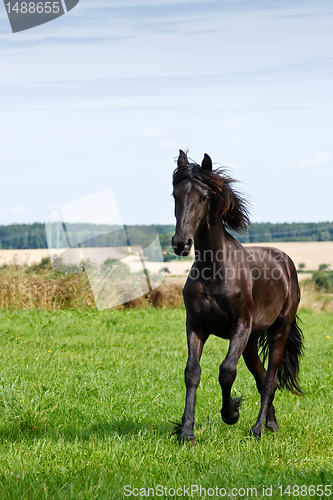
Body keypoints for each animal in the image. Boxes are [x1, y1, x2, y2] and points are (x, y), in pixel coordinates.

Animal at [171, 149, 304, 442]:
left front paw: (231, 413)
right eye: (175, 194)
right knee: (261, 376)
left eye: (204, 197)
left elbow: (226, 371)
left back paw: (258, 429)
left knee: (270, 379)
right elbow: (192, 372)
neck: (214, 271)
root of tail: (286, 262)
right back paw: (271, 424)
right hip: (252, 342)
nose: (181, 243)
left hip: (279, 330)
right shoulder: (195, 325)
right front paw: (186, 431)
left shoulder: (240, 328)